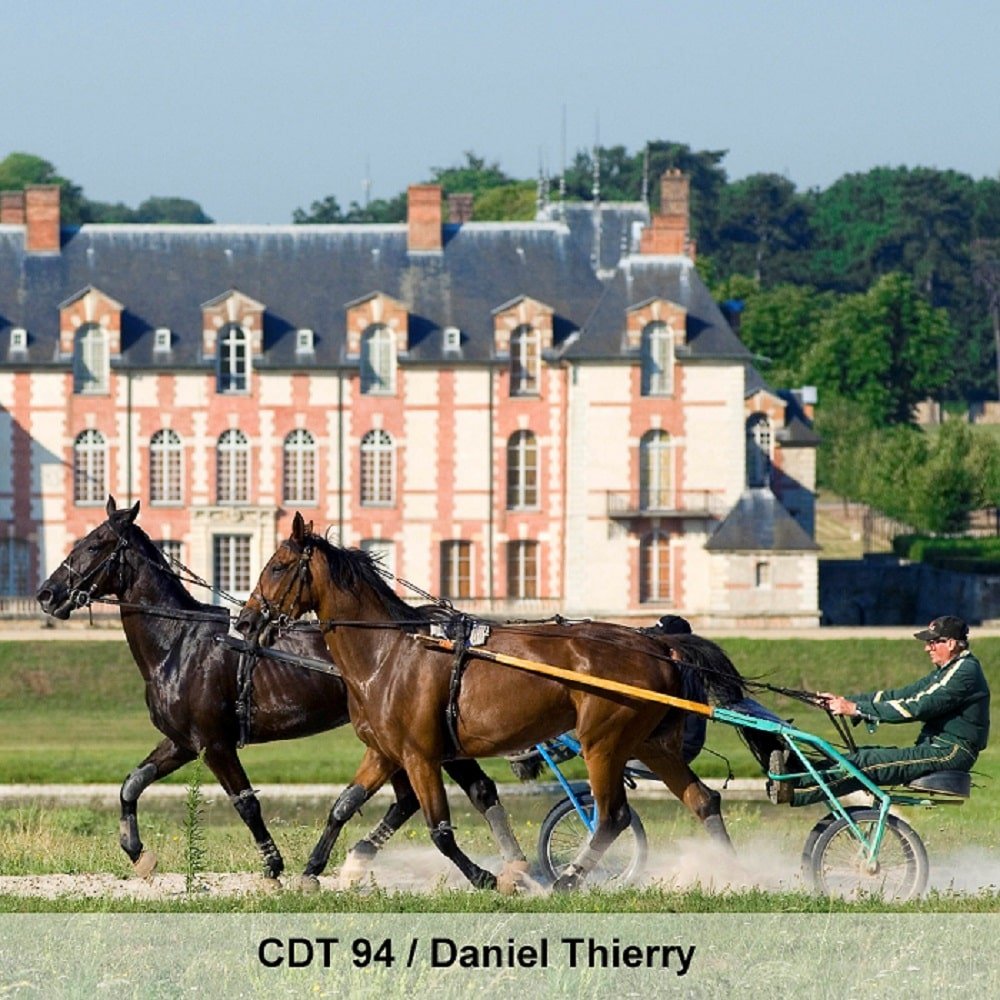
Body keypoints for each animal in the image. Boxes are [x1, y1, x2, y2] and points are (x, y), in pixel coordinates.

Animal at [35, 498, 528, 884]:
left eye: (94, 544)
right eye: (81, 540)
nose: (45, 594)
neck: (179, 642)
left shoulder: (214, 743)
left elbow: (246, 805)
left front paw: (273, 866)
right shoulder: (181, 743)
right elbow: (130, 785)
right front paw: (139, 854)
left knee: (459, 792)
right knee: (428, 797)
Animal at [236, 516, 752, 892]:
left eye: (277, 566)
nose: (244, 621)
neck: (389, 653)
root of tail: (658, 645)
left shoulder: (420, 756)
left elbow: (440, 830)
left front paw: (487, 876)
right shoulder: (384, 752)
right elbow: (342, 806)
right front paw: (312, 869)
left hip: (603, 743)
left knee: (612, 816)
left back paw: (568, 877)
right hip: (649, 743)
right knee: (702, 800)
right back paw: (731, 870)